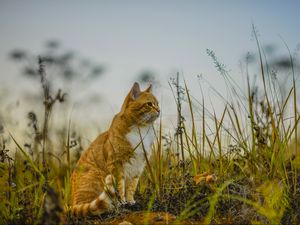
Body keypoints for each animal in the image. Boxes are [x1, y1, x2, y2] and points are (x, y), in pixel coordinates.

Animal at [70, 81, 161, 215]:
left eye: (158, 104)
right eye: (149, 104)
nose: (159, 110)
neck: (141, 130)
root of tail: (71, 205)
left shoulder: (138, 166)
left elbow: (131, 187)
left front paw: (130, 201)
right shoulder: (117, 164)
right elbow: (120, 186)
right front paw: (122, 202)